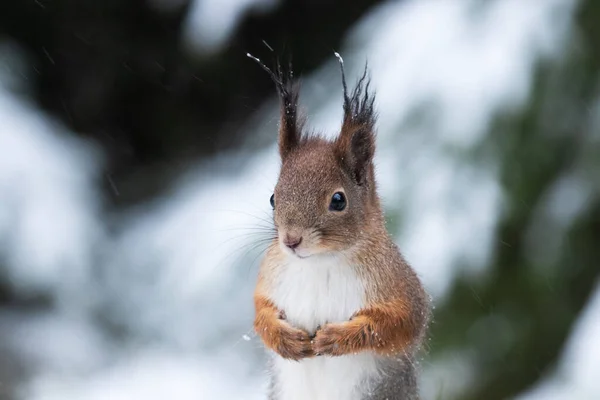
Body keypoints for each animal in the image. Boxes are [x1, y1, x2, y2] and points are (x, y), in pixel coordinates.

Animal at [248, 52, 432, 400]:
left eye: (338, 200)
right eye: (272, 198)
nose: (291, 241)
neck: (319, 263)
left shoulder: (398, 285)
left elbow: (400, 323)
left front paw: (335, 338)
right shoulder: (271, 275)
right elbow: (260, 312)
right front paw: (285, 339)